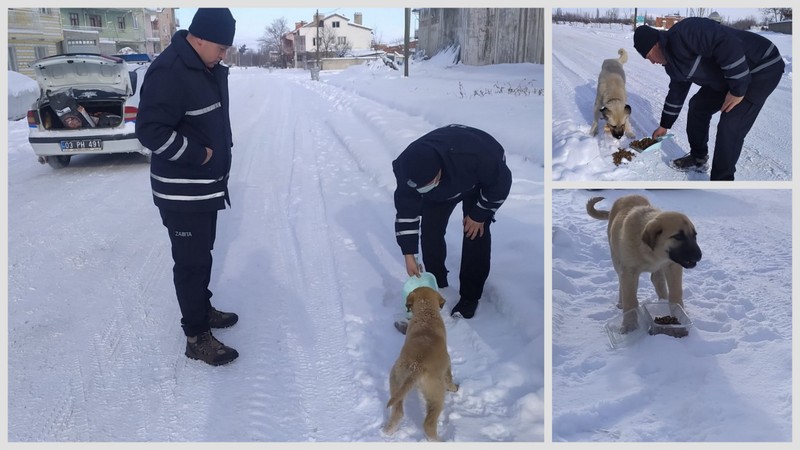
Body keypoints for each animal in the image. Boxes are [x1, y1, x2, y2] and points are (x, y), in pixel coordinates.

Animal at [384, 286, 460, 442]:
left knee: (398, 411)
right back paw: (440, 440)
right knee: (428, 425)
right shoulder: (447, 362)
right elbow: (449, 377)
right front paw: (454, 387)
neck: (426, 312)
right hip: (436, 395)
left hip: (396, 380)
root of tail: (416, 367)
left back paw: (388, 431)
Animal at [588, 195, 700, 332]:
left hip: (658, 270)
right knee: (621, 282)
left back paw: (663, 300)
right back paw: (621, 302)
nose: (699, 256)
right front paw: (629, 326)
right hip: (617, 260)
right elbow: (630, 300)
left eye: (694, 235)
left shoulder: (673, 266)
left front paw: (680, 316)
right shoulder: (629, 272)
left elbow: (676, 293)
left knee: (657, 280)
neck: (650, 252)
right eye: (678, 236)